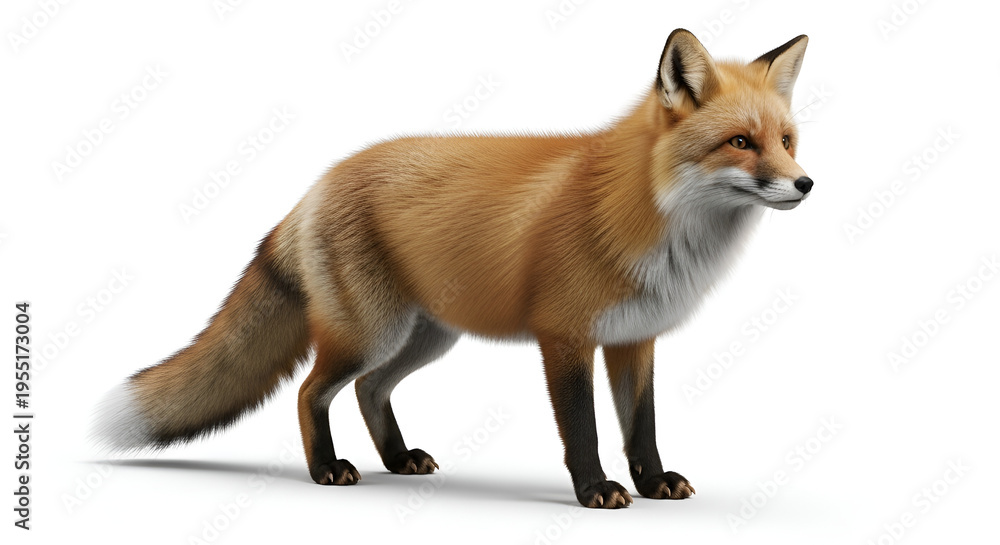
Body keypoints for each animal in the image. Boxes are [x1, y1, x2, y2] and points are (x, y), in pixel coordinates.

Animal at [94, 29, 813, 509]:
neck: (648, 216)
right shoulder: (565, 338)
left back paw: (397, 458)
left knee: (369, 390)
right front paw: (595, 490)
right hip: (372, 333)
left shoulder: (635, 338)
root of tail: (319, 182)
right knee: (311, 391)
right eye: (740, 143)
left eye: (786, 141)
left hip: (427, 337)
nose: (806, 184)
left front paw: (653, 482)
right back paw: (327, 468)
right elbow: (582, 429)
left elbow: (643, 427)